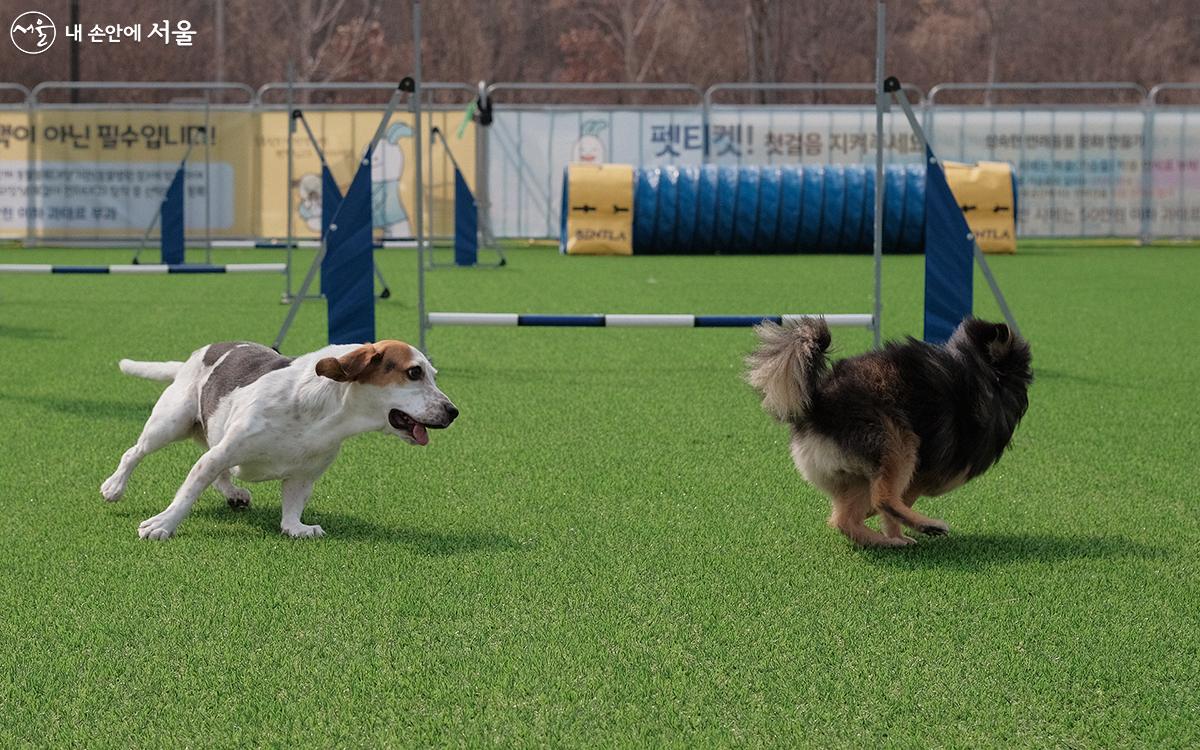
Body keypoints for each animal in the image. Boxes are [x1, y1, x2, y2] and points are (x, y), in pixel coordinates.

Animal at [100, 338, 456, 537]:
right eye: (414, 373)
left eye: (433, 375)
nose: (453, 411)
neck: (324, 414)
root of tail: (191, 358)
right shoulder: (222, 452)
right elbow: (187, 494)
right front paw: (163, 524)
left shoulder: (304, 475)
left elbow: (292, 511)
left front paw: (297, 528)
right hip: (169, 423)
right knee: (134, 453)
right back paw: (114, 486)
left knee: (220, 477)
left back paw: (234, 494)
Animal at [744, 312, 1027, 547]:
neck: (978, 373)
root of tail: (818, 405)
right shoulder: (922, 474)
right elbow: (899, 499)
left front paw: (891, 532)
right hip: (898, 440)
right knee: (883, 498)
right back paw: (927, 526)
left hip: (858, 473)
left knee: (843, 519)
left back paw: (885, 541)